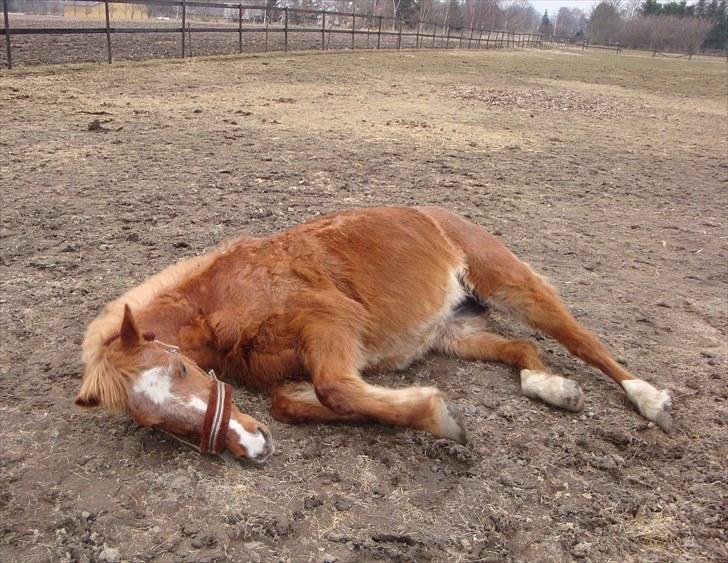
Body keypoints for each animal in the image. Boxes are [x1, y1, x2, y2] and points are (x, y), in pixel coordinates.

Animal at [75, 207, 672, 462]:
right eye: (156, 424)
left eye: (179, 368)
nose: (253, 449)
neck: (223, 299)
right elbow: (297, 401)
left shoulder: (330, 325)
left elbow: (336, 389)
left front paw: (440, 416)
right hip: (452, 331)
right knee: (523, 349)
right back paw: (553, 389)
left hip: (512, 284)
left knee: (582, 341)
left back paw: (649, 399)